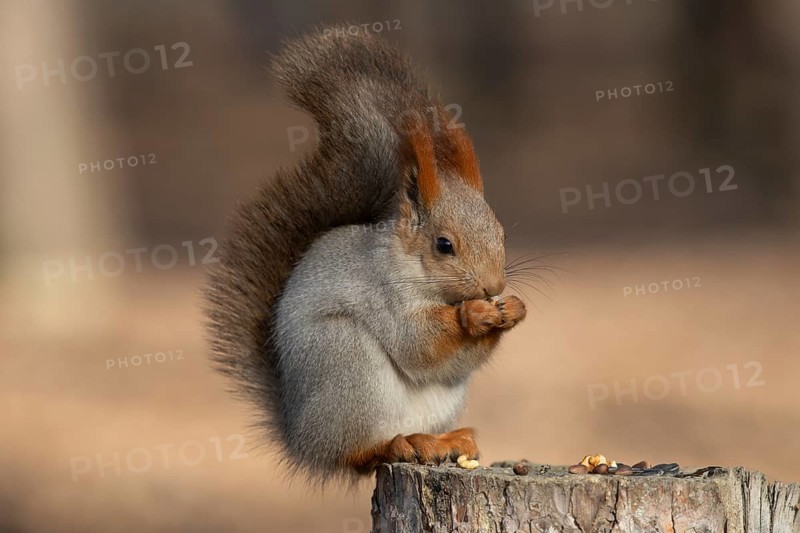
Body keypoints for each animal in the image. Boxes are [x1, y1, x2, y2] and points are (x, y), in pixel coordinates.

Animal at [205, 26, 527, 482]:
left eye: (501, 233)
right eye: (444, 245)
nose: (493, 286)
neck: (410, 265)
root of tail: (302, 439)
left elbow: (447, 361)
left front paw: (512, 309)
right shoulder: (383, 293)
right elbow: (417, 344)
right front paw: (474, 313)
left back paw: (444, 440)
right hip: (348, 361)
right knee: (356, 454)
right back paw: (394, 444)